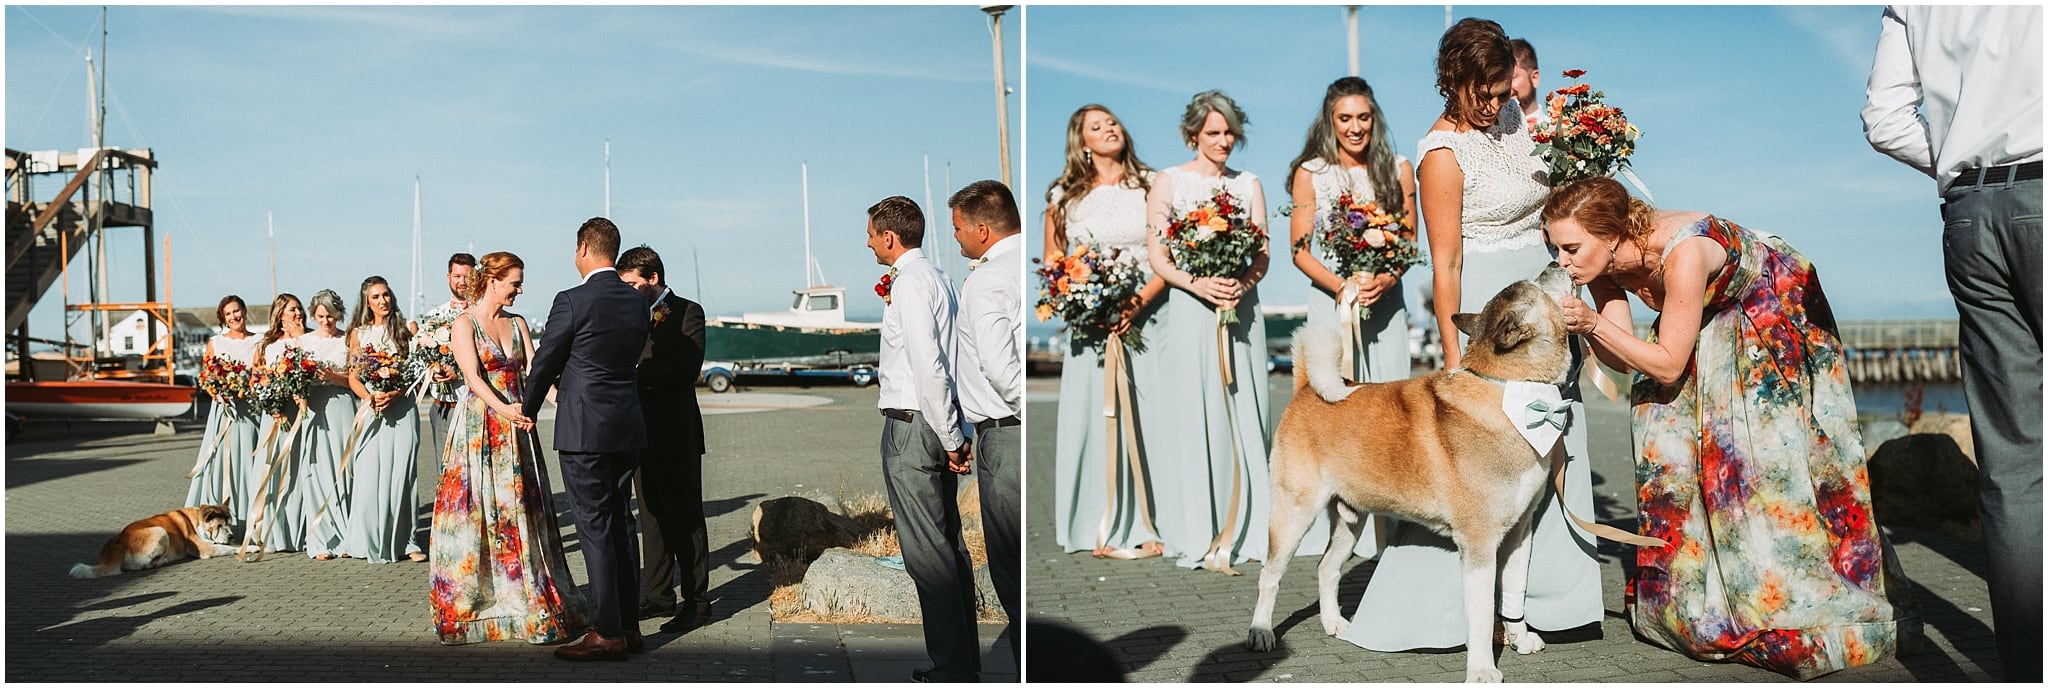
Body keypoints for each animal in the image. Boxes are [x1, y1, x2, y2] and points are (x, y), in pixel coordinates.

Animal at [71, 501, 237, 577]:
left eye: (230, 524)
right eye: (220, 526)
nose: (232, 536)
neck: (196, 520)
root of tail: (119, 542)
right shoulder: (206, 548)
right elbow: (226, 547)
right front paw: (242, 548)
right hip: (160, 531)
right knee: (139, 566)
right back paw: (162, 561)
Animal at [1236, 264, 1572, 683]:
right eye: (1534, 285)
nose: (1554, 264)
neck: (1512, 391)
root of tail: (1305, 389)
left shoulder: (1519, 534)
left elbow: (1514, 590)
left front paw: (1519, 636)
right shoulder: (1478, 545)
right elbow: (1479, 615)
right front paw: (1481, 669)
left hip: (1350, 519)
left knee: (1327, 568)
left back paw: (1334, 623)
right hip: (1294, 515)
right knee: (1270, 575)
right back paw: (1261, 631)